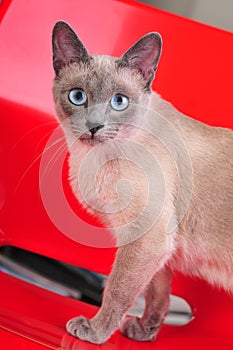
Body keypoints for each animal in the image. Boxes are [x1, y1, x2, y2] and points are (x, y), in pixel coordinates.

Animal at [51, 21, 233, 344]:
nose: (94, 127)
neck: (94, 159)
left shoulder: (147, 236)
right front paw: (144, 332)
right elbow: (156, 292)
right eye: (78, 96)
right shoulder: (156, 244)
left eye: (119, 101)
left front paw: (95, 332)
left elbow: (117, 290)